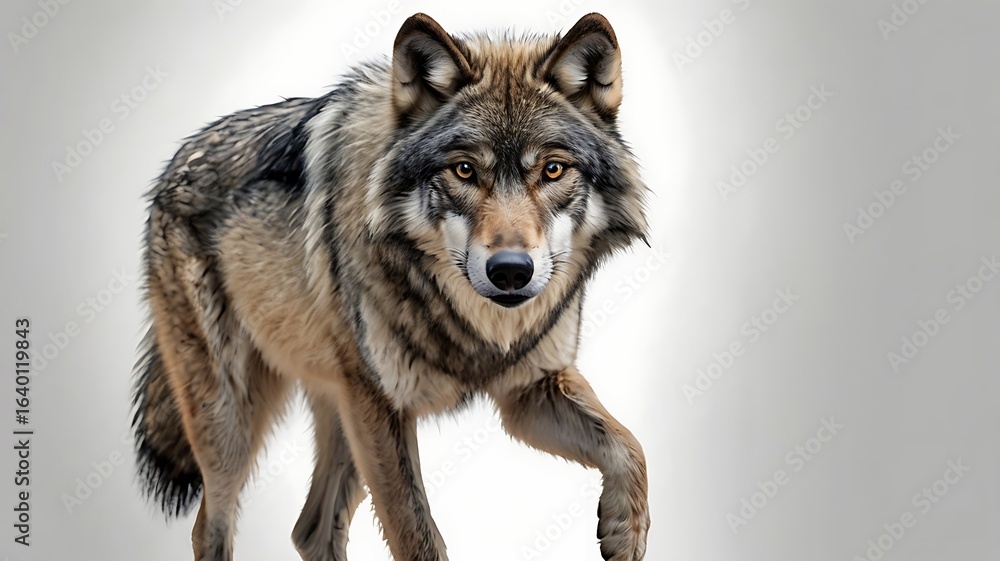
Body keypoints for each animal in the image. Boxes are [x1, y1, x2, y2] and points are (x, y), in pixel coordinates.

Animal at [131, 12, 650, 561]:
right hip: (231, 418)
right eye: (464, 169)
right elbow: (417, 536)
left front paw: (625, 533)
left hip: (341, 412)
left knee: (310, 528)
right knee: (211, 524)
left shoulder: (529, 390)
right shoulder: (383, 408)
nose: (511, 270)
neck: (473, 327)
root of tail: (175, 160)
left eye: (552, 169)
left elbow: (631, 447)